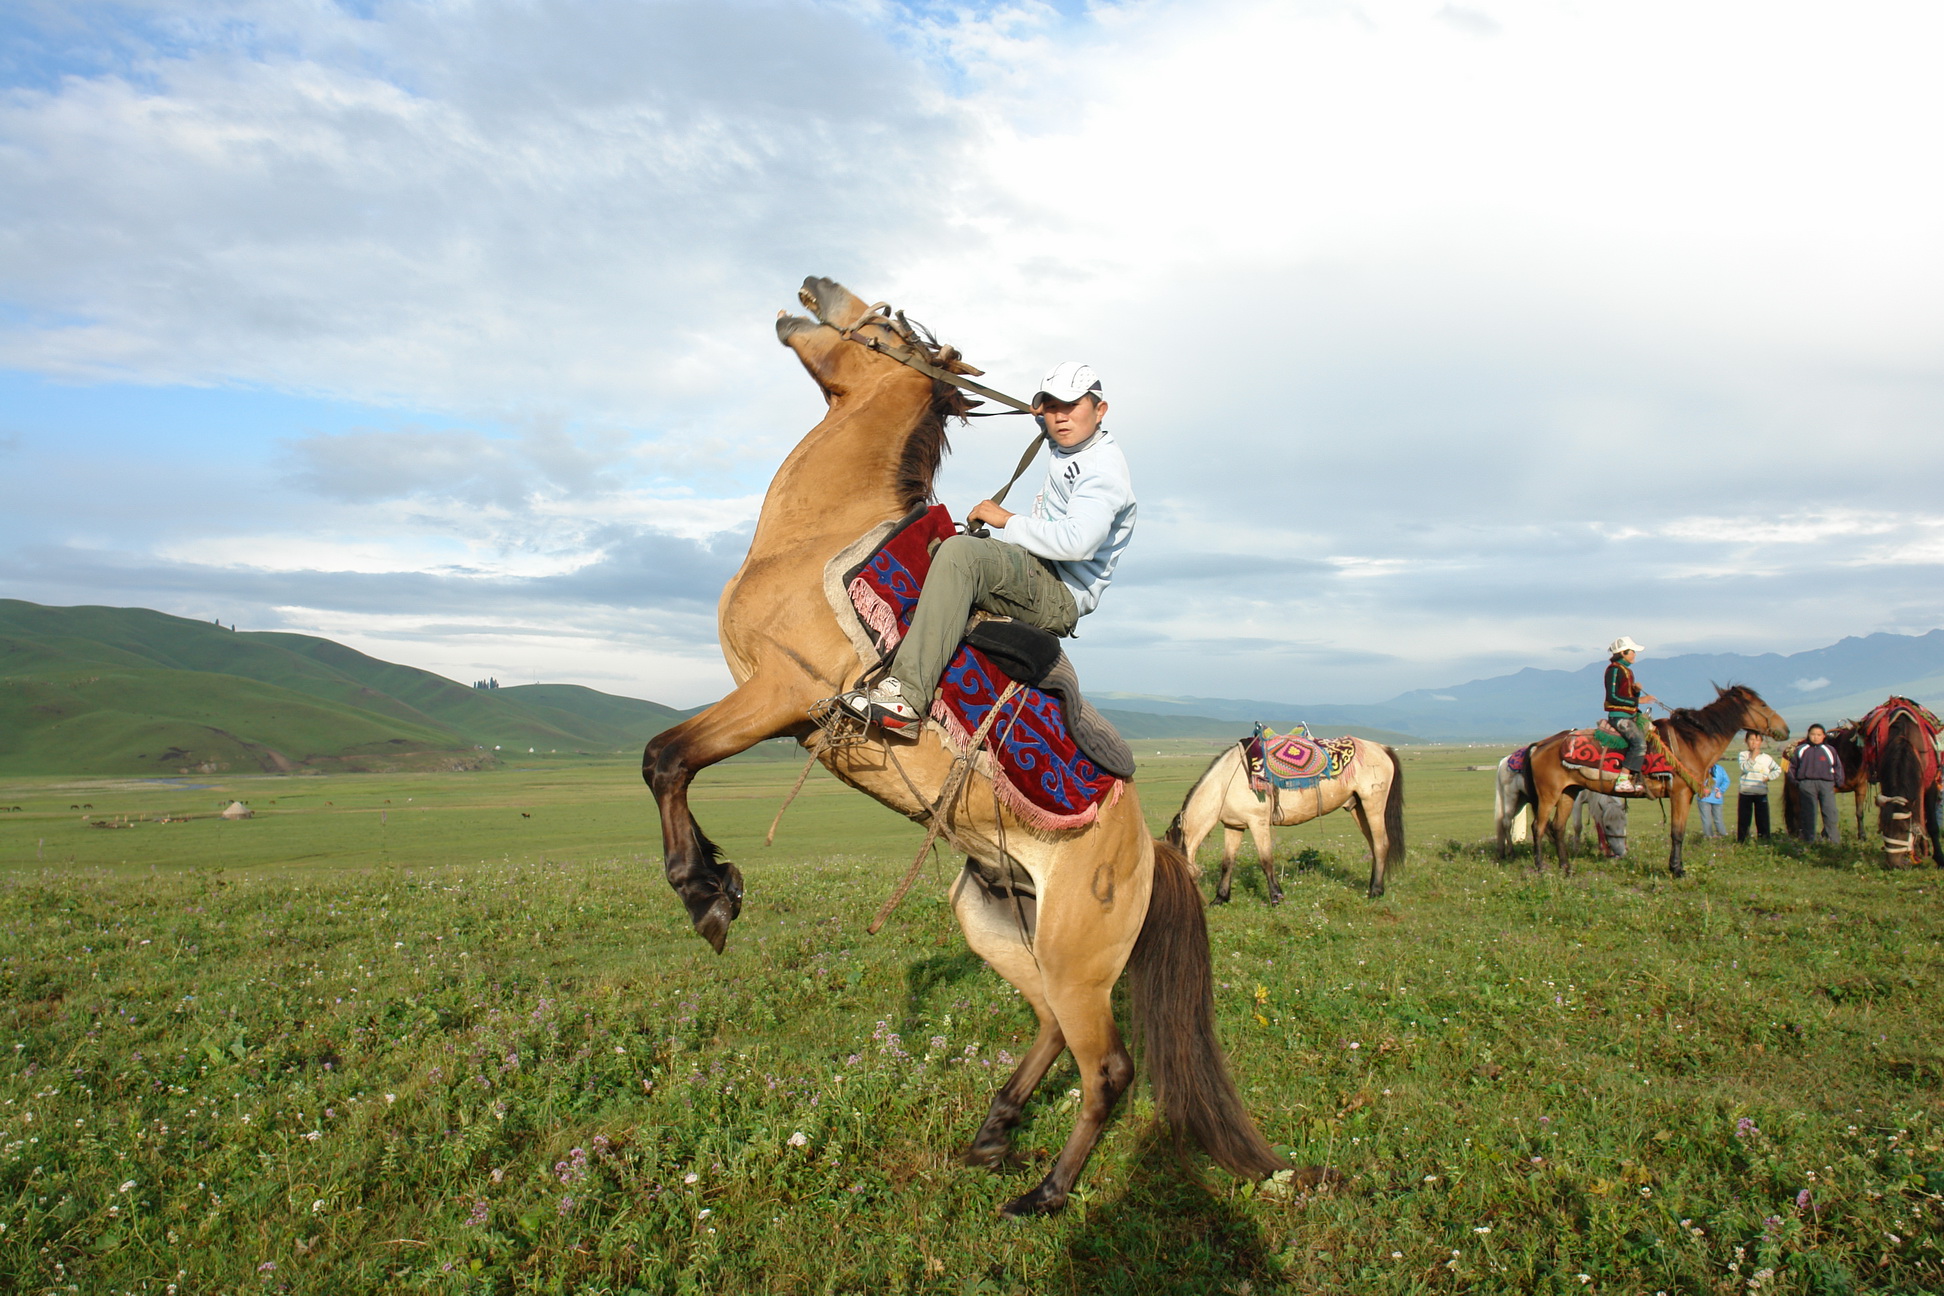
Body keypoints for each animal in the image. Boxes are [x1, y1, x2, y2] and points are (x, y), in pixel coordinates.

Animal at [639, 277, 1286, 1216]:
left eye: (887, 322)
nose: (811, 289)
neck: (825, 535)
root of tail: (1148, 853)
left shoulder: (781, 694)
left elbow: (666, 757)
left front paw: (706, 895)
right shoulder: (773, 704)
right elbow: (672, 761)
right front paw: (718, 883)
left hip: (1077, 957)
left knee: (1107, 1067)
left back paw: (1046, 1192)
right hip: (994, 919)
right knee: (1050, 1026)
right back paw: (994, 1132)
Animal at [1165, 738, 1404, 901]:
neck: (1225, 783)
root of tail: (1381, 748)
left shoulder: (1258, 823)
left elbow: (1266, 860)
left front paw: (1276, 897)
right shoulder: (1234, 826)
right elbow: (1228, 862)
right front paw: (1221, 898)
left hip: (1373, 804)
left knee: (1381, 844)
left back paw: (1375, 891)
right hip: (1358, 808)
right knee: (1374, 845)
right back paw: (1374, 886)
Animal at [1523, 686, 1789, 878]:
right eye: (1762, 704)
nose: (1785, 730)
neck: (1693, 742)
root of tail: (1540, 745)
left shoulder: (1684, 795)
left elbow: (1678, 832)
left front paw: (1676, 867)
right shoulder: (1680, 794)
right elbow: (1677, 833)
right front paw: (1677, 870)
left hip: (1569, 792)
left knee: (1558, 827)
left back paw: (1566, 868)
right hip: (1549, 794)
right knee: (1538, 826)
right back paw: (1541, 867)